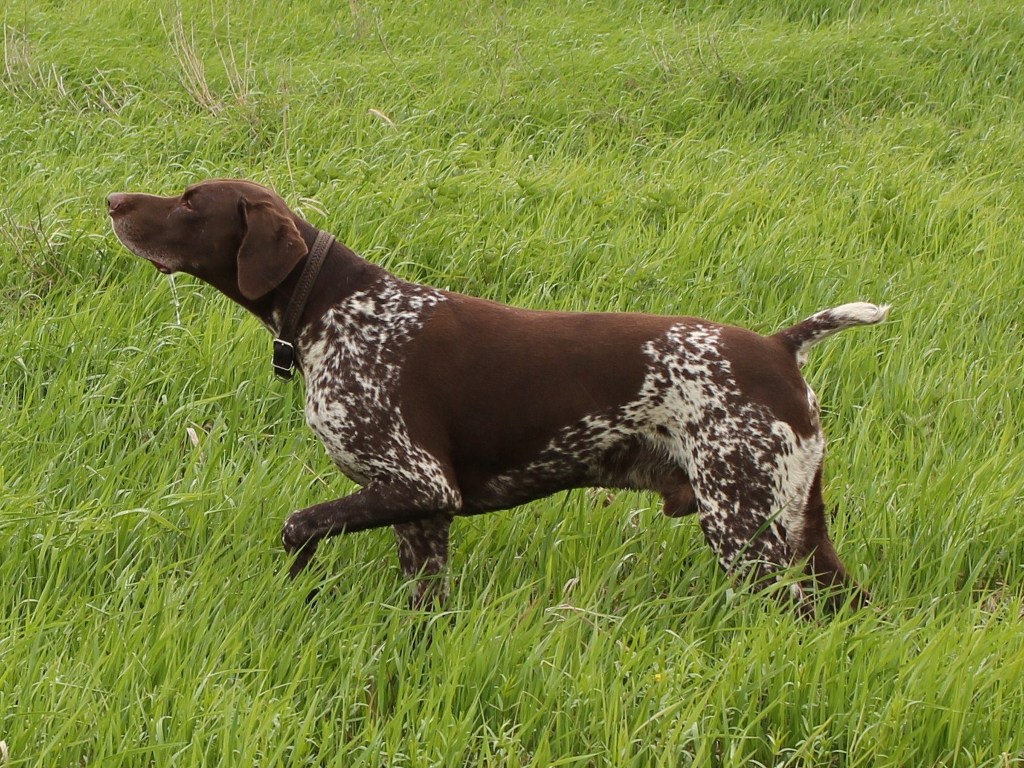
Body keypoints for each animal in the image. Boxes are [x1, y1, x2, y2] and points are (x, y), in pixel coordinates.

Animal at [105, 180, 888, 614]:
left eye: (190, 202)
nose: (111, 201)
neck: (333, 308)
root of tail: (780, 347)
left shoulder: (420, 483)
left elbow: (299, 526)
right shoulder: (421, 515)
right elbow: (423, 609)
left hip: (745, 530)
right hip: (800, 530)